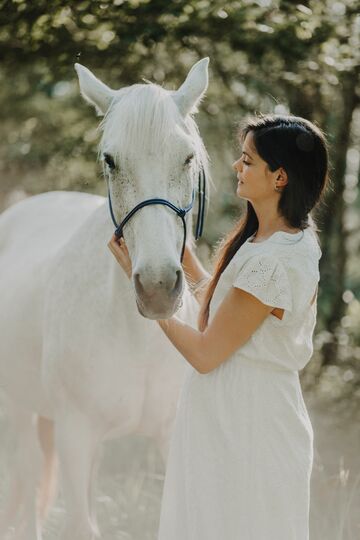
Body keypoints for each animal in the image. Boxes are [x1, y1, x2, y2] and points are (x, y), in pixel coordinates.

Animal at [0, 57, 211, 536]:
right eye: (111, 160)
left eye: (187, 157)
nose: (157, 287)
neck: (137, 339)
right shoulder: (75, 436)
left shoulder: (168, 435)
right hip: (18, 408)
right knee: (28, 475)